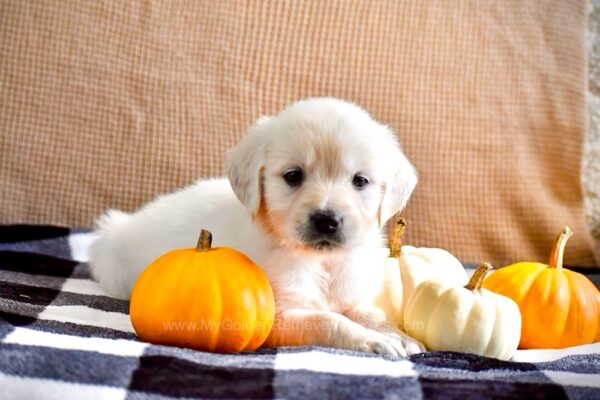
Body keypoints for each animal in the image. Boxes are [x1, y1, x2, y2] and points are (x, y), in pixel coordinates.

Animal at [91, 97, 424, 356]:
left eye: (360, 181)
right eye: (293, 176)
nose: (327, 220)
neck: (320, 261)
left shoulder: (350, 294)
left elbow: (369, 312)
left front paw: (397, 335)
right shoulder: (275, 316)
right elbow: (328, 321)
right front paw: (373, 341)